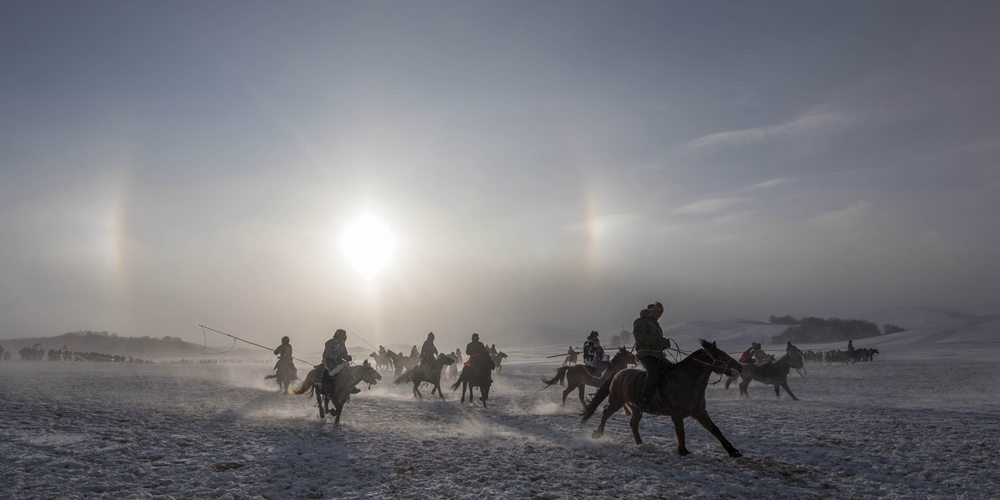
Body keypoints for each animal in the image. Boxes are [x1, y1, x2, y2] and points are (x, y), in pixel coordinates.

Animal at [580, 340, 744, 458]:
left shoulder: (700, 412)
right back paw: (598, 433)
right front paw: (683, 451)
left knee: (633, 423)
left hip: (636, 408)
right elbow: (680, 432)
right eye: (722, 355)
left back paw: (640, 443)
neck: (686, 380)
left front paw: (733, 451)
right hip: (616, 401)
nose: (739, 366)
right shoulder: (677, 414)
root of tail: (618, 374)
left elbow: (715, 430)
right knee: (606, 412)